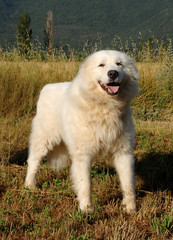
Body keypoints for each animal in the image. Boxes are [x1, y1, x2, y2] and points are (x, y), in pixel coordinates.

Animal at [25, 50, 140, 214]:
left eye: (119, 64)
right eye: (101, 65)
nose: (113, 73)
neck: (105, 107)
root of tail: (46, 88)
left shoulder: (123, 153)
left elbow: (128, 184)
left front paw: (131, 209)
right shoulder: (83, 155)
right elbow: (85, 185)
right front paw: (86, 210)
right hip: (43, 140)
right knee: (33, 162)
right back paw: (29, 185)